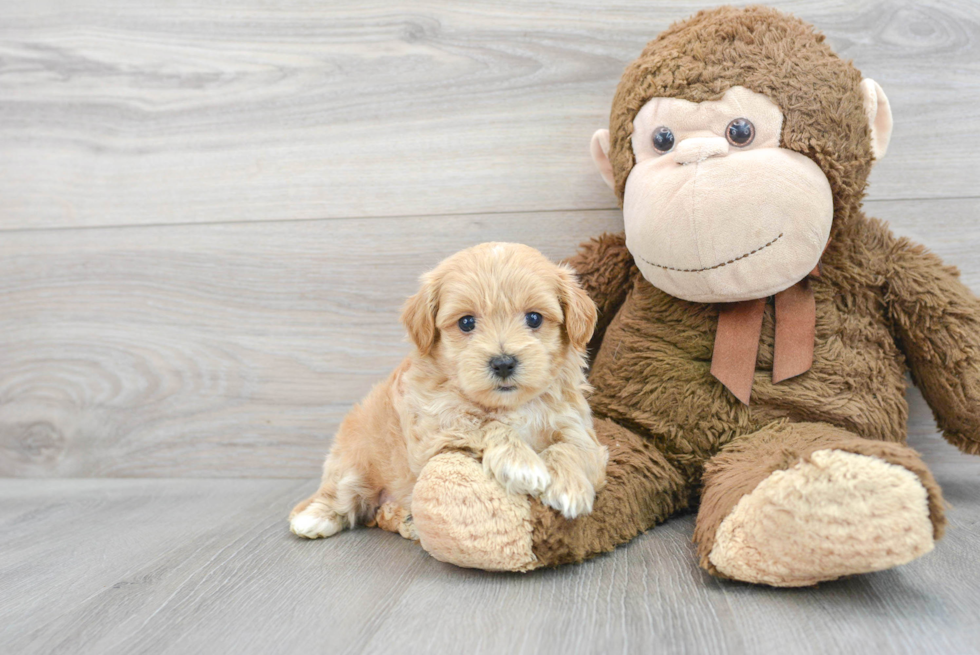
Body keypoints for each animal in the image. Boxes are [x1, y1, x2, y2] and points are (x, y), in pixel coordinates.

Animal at [290, 241, 604, 540]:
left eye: (534, 319)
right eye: (466, 322)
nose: (503, 363)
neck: (509, 405)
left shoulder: (580, 430)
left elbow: (572, 447)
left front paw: (569, 487)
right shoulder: (434, 431)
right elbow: (485, 425)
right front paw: (521, 464)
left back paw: (407, 520)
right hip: (352, 460)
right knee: (342, 493)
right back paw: (314, 518)